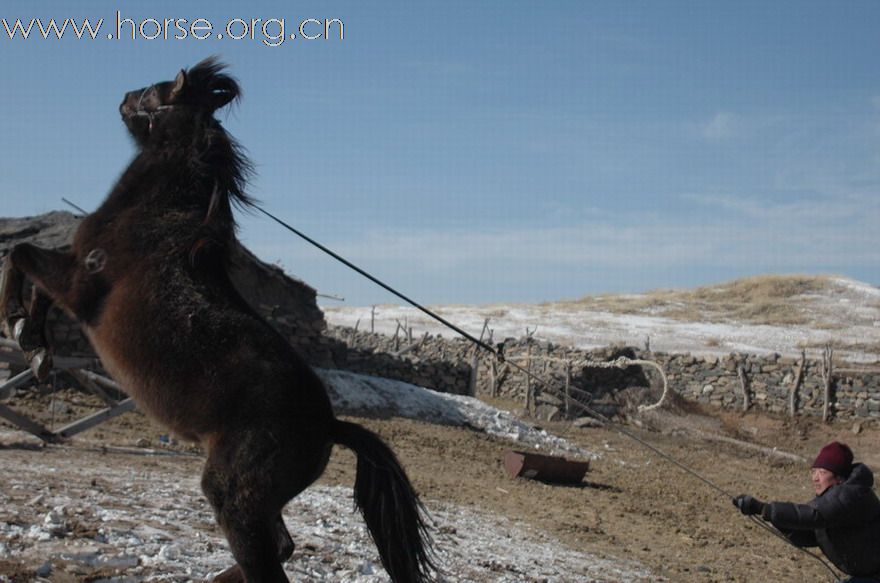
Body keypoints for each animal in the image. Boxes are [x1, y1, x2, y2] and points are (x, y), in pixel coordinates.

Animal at [1, 58, 434, 583]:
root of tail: (330, 425)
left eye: (155, 93)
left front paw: (19, 328)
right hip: (258, 502)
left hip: (233, 496)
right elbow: (34, 280)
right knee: (283, 545)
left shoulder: (81, 283)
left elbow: (20, 254)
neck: (157, 215)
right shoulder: (71, 278)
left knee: (270, 558)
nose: (123, 96)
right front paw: (36, 346)